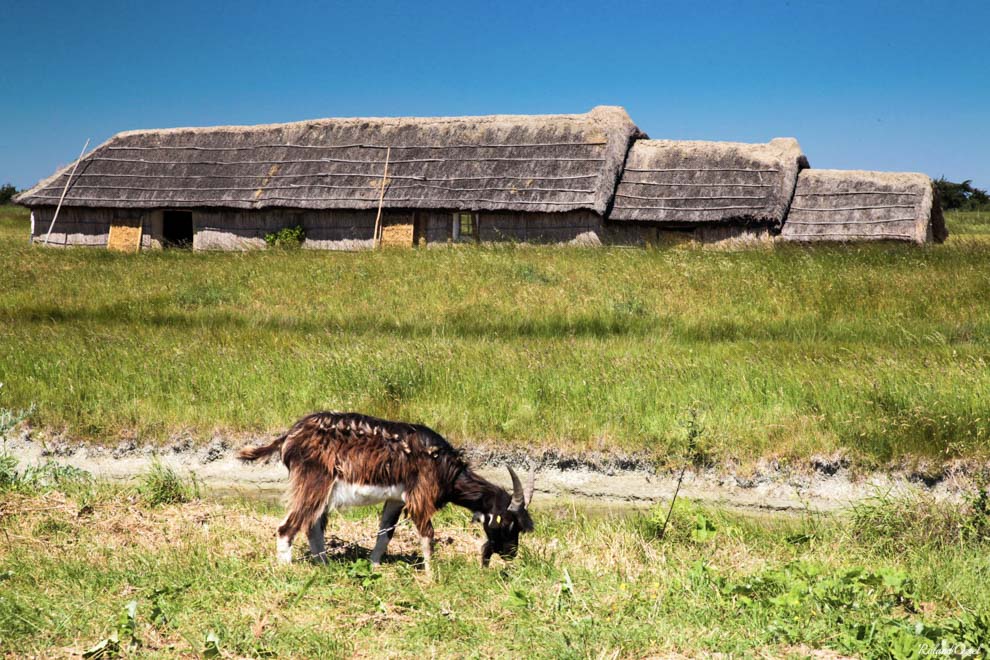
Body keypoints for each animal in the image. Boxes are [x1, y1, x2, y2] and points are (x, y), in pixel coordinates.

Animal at [238, 412, 536, 572]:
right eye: (509, 524)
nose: (511, 554)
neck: (444, 465)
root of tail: (290, 435)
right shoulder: (420, 496)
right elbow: (428, 534)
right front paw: (431, 575)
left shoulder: (395, 499)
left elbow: (385, 534)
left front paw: (374, 565)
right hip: (314, 482)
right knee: (288, 527)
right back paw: (286, 569)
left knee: (312, 526)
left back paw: (324, 566)